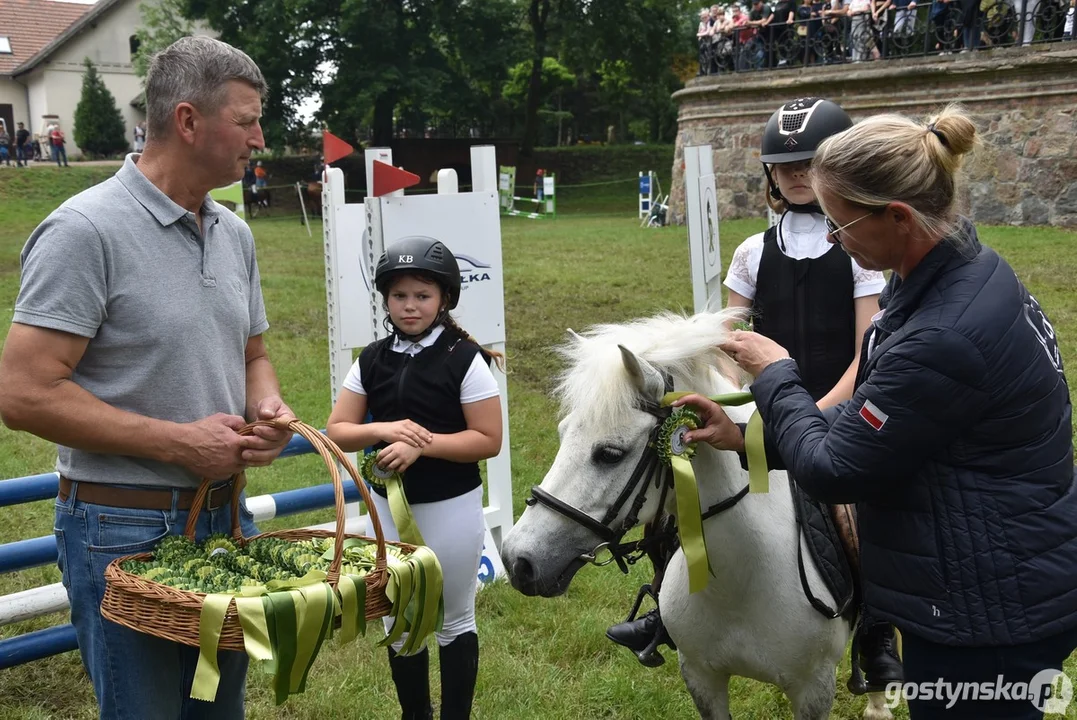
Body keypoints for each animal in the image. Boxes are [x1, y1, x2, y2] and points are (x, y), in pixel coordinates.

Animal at [499, 309, 887, 718]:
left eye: (610, 454)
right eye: (562, 434)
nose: (517, 560)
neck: (741, 580)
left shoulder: (814, 689)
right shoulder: (702, 677)